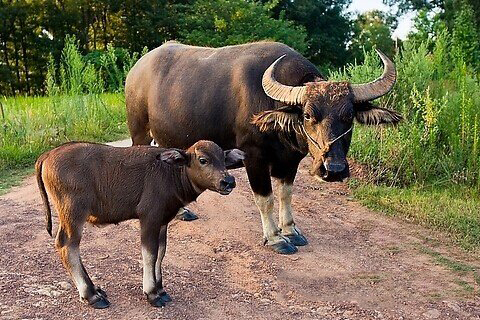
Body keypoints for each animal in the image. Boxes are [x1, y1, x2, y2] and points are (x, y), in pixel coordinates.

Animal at [36, 140, 244, 308]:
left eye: (223, 159)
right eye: (203, 160)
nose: (228, 181)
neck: (171, 174)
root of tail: (48, 155)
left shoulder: (162, 222)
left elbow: (161, 252)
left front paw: (161, 290)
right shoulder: (149, 219)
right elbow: (149, 254)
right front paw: (152, 294)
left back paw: (97, 291)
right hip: (73, 213)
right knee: (67, 245)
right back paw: (91, 296)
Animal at [125, 40, 404, 255]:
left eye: (349, 116)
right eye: (308, 115)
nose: (333, 169)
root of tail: (135, 71)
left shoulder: (290, 160)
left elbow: (285, 194)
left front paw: (291, 230)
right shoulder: (254, 157)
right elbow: (265, 199)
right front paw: (275, 238)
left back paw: (182, 211)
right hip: (139, 133)